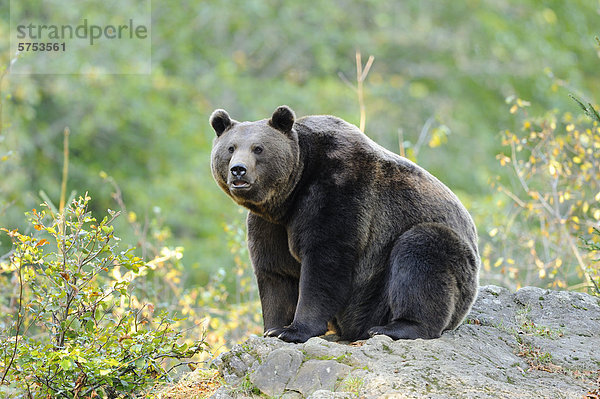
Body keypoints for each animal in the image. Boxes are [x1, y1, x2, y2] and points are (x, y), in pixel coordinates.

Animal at [210, 106, 478, 344]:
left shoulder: (339, 190)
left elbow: (325, 260)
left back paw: (397, 327)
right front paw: (273, 329)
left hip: (402, 281)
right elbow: (276, 270)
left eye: (258, 148)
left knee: (422, 252)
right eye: (230, 148)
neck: (294, 189)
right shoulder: (271, 222)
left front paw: (295, 330)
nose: (238, 170)